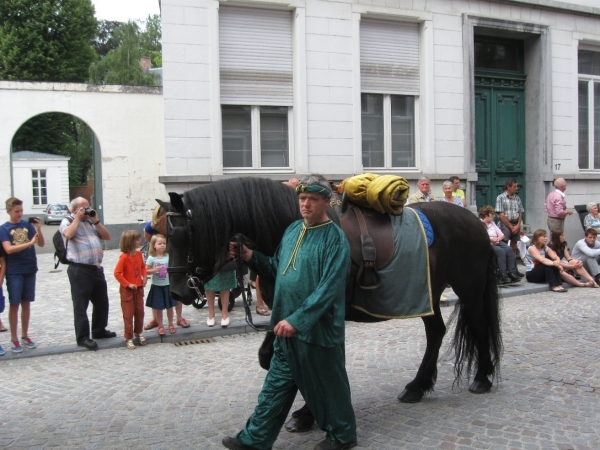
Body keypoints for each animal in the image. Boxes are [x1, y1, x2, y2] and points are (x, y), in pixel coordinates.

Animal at [159, 178, 502, 402]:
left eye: (180, 235)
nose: (177, 292)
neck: (294, 230)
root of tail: (474, 221)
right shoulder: (287, 311)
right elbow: (268, 356)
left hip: (469, 287)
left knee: (479, 323)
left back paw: (482, 377)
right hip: (425, 293)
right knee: (436, 332)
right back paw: (418, 386)